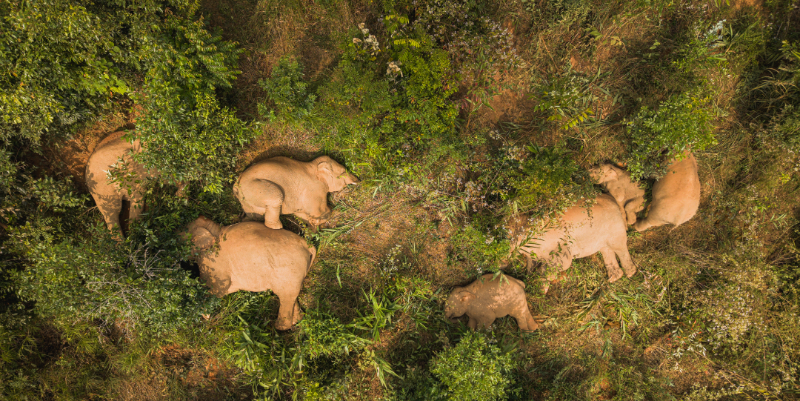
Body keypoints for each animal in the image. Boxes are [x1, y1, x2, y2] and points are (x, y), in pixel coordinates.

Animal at [184, 217, 316, 330]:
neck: (214, 229)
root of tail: (307, 245)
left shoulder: (212, 261)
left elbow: (217, 287)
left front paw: (203, 316)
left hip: (289, 271)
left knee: (285, 296)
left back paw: (277, 328)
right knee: (292, 297)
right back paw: (296, 321)